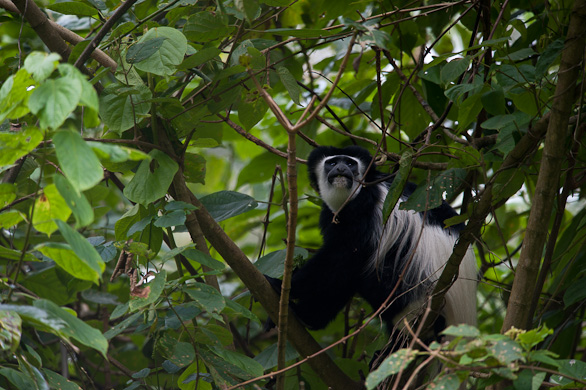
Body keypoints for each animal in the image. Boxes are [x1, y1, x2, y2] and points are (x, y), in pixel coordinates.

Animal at [264, 145, 474, 338]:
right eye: (332, 162)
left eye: (350, 163)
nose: (341, 168)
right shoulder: (332, 214)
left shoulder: (365, 207)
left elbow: (341, 254)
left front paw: (281, 285)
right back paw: (307, 318)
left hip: (410, 288)